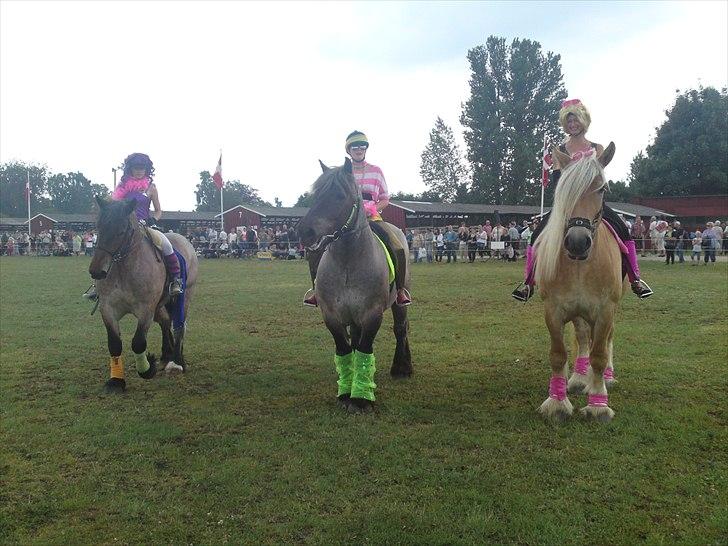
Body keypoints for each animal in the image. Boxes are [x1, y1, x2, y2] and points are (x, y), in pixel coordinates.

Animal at [89, 196, 198, 392]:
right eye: (98, 227)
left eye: (121, 231)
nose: (96, 271)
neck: (123, 269)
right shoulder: (108, 309)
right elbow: (114, 344)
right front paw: (116, 381)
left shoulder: (146, 310)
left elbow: (138, 342)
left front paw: (147, 369)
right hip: (160, 305)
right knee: (165, 322)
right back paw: (167, 355)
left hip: (183, 297)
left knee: (179, 326)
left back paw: (176, 362)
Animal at [294, 157, 410, 412]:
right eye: (315, 194)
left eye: (339, 195)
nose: (305, 231)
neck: (348, 264)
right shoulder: (332, 316)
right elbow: (345, 349)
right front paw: (346, 393)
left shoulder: (372, 315)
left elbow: (365, 349)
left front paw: (361, 399)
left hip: (399, 303)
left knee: (401, 329)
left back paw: (402, 368)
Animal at [532, 141, 624, 420]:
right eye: (562, 189)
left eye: (602, 188)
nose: (577, 241)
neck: (581, 267)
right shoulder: (554, 310)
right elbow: (558, 355)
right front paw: (557, 403)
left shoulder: (605, 310)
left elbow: (599, 354)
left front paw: (598, 405)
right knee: (583, 339)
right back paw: (578, 379)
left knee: (605, 341)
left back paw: (604, 380)